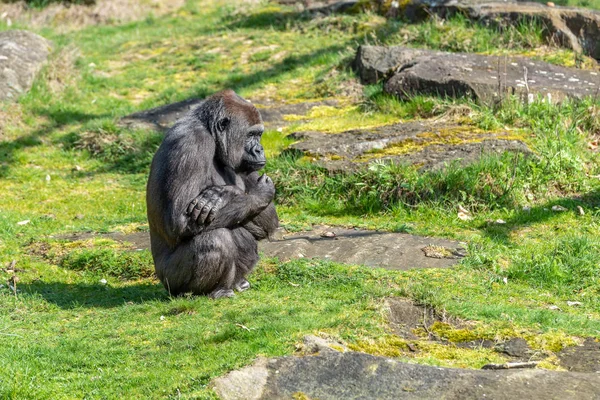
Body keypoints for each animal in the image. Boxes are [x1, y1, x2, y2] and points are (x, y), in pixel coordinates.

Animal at [145, 89, 278, 298]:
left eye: (259, 134)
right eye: (251, 134)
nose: (259, 149)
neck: (209, 132)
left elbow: (268, 220)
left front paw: (224, 194)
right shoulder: (191, 143)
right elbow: (179, 219)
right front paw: (243, 193)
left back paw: (237, 283)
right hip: (169, 282)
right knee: (215, 238)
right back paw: (213, 291)